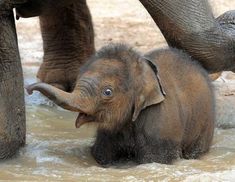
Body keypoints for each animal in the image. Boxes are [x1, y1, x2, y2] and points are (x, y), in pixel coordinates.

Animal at [26, 43, 214, 166]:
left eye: (107, 92)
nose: (28, 89)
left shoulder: (160, 126)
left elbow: (155, 160)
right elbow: (102, 155)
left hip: (204, 124)